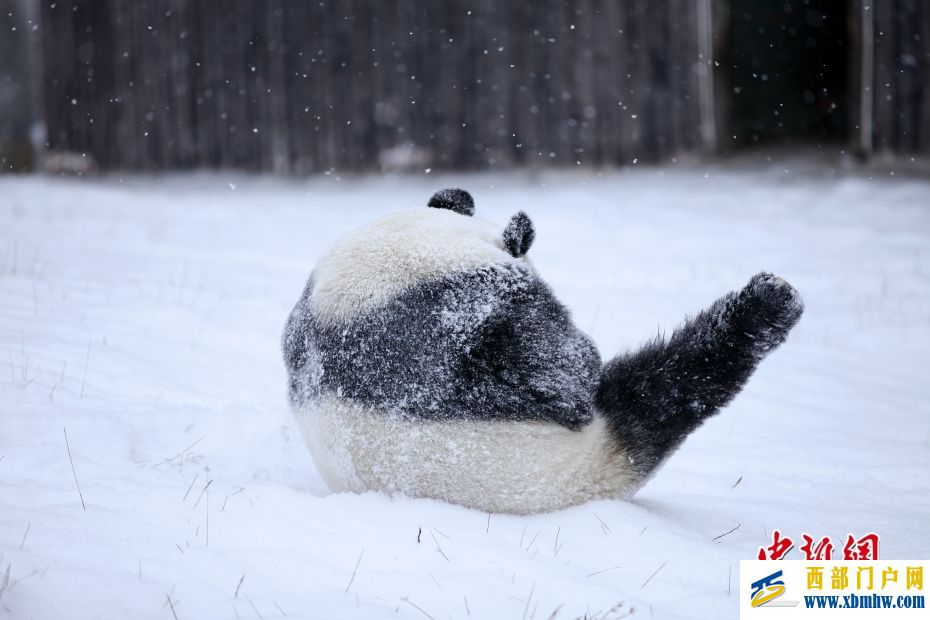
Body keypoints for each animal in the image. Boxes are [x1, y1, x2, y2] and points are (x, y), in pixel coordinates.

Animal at [280, 189, 800, 512]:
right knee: (671, 386)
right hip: (583, 461)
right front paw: (577, 360)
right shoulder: (458, 312)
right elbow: (561, 372)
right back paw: (768, 304)